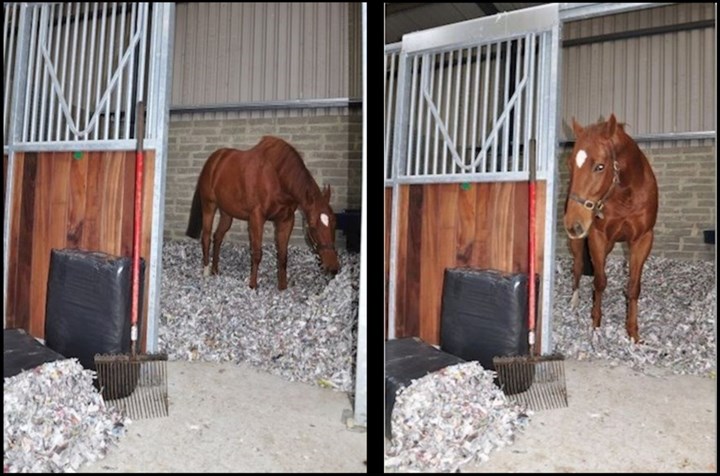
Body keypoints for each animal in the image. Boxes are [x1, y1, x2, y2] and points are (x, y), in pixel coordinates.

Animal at [187, 135, 342, 290]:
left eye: (335, 223)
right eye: (313, 227)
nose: (333, 267)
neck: (277, 176)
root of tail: (213, 161)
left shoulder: (286, 220)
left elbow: (283, 255)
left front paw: (282, 287)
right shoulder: (257, 218)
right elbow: (257, 253)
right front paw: (252, 285)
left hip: (227, 213)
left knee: (218, 236)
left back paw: (215, 270)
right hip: (209, 206)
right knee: (206, 237)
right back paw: (206, 272)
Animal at [564, 114, 660, 342]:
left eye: (600, 166)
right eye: (570, 165)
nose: (573, 224)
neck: (625, 195)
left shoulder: (642, 239)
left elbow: (633, 287)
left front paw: (633, 333)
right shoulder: (597, 237)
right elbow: (599, 281)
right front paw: (596, 324)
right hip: (578, 243)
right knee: (578, 266)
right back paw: (574, 302)